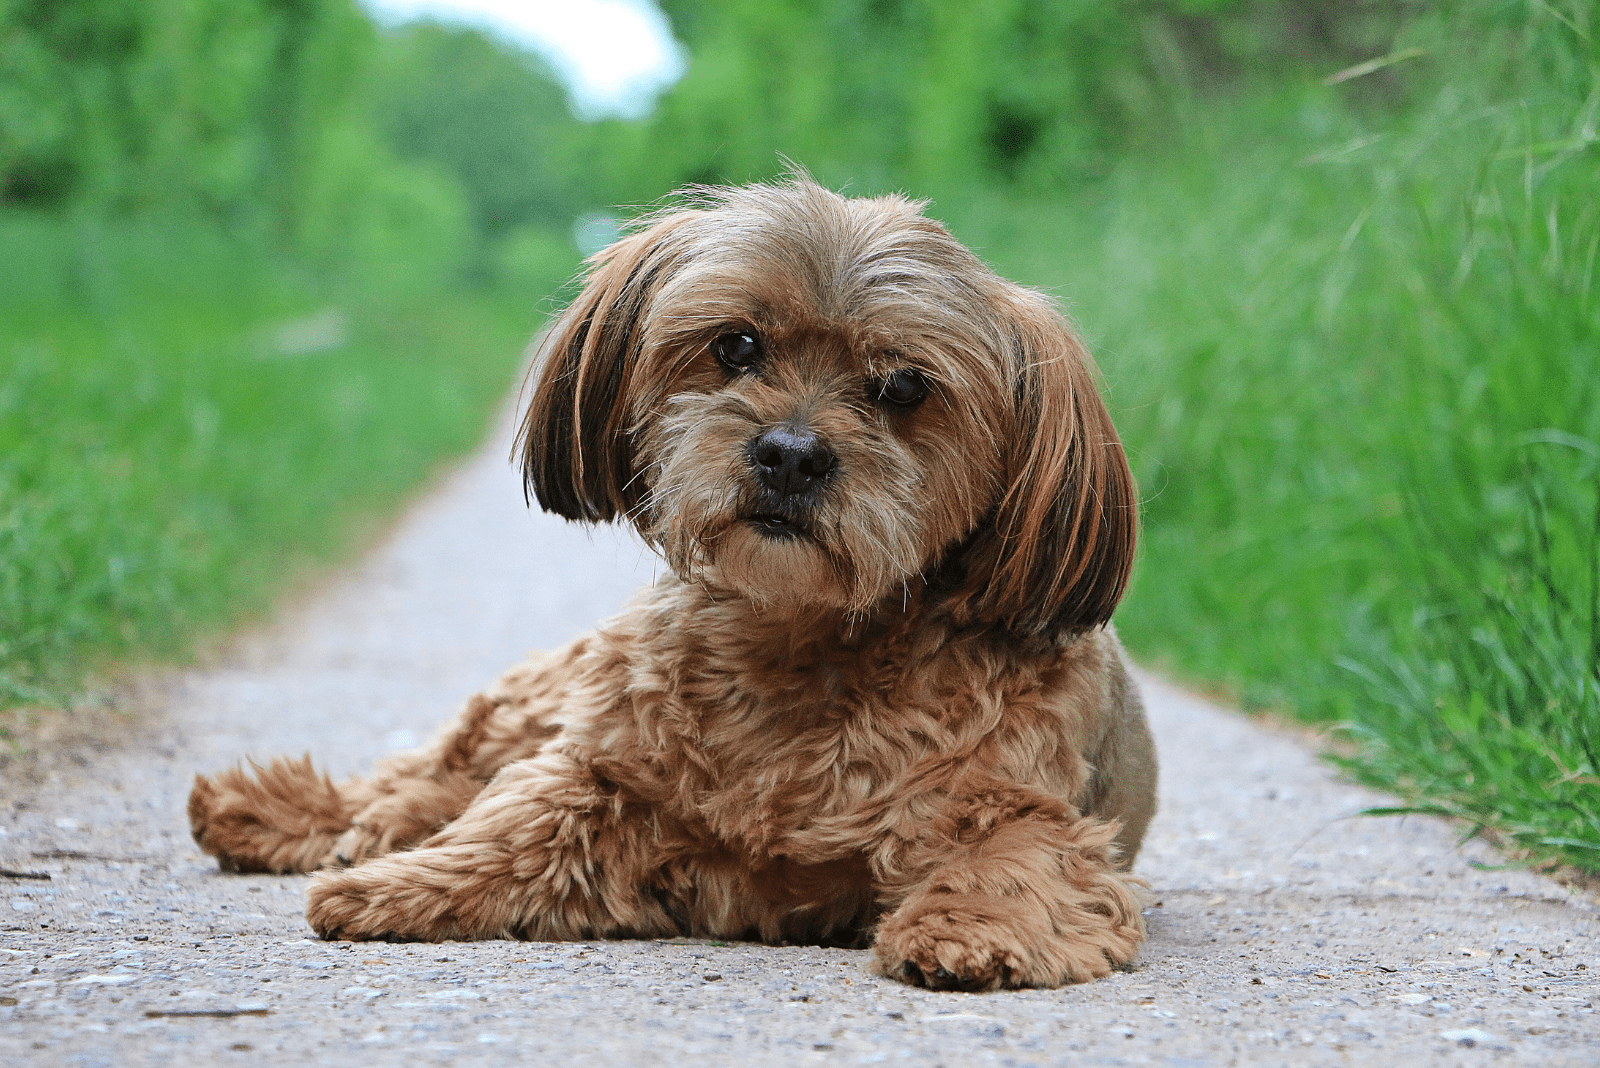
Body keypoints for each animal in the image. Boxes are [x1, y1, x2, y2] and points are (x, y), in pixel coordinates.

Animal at [193, 177, 1158, 991]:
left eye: (903, 386)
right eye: (737, 344)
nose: (791, 454)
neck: (800, 644)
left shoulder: (1022, 807)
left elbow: (1013, 856)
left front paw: (972, 926)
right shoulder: (607, 774)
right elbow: (518, 820)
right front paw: (404, 882)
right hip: (552, 688)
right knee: (439, 764)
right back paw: (287, 813)